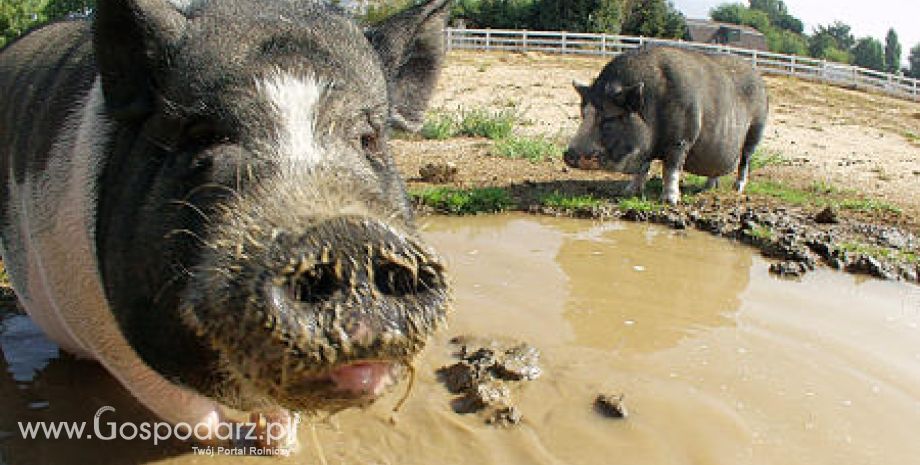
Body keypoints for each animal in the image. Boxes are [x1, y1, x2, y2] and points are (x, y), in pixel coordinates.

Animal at [0, 0, 452, 450]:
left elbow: (279, 414)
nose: (348, 235)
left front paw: (283, 449)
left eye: (368, 139)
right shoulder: (111, 340)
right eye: (203, 134)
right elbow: (194, 416)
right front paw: (220, 445)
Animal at [560, 46, 768, 204]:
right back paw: (707, 187)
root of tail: (758, 76)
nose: (569, 154)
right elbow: (643, 168)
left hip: (756, 130)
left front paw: (670, 201)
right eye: (583, 114)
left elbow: (671, 169)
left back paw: (737, 189)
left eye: (610, 118)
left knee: (745, 159)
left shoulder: (681, 140)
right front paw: (628, 192)